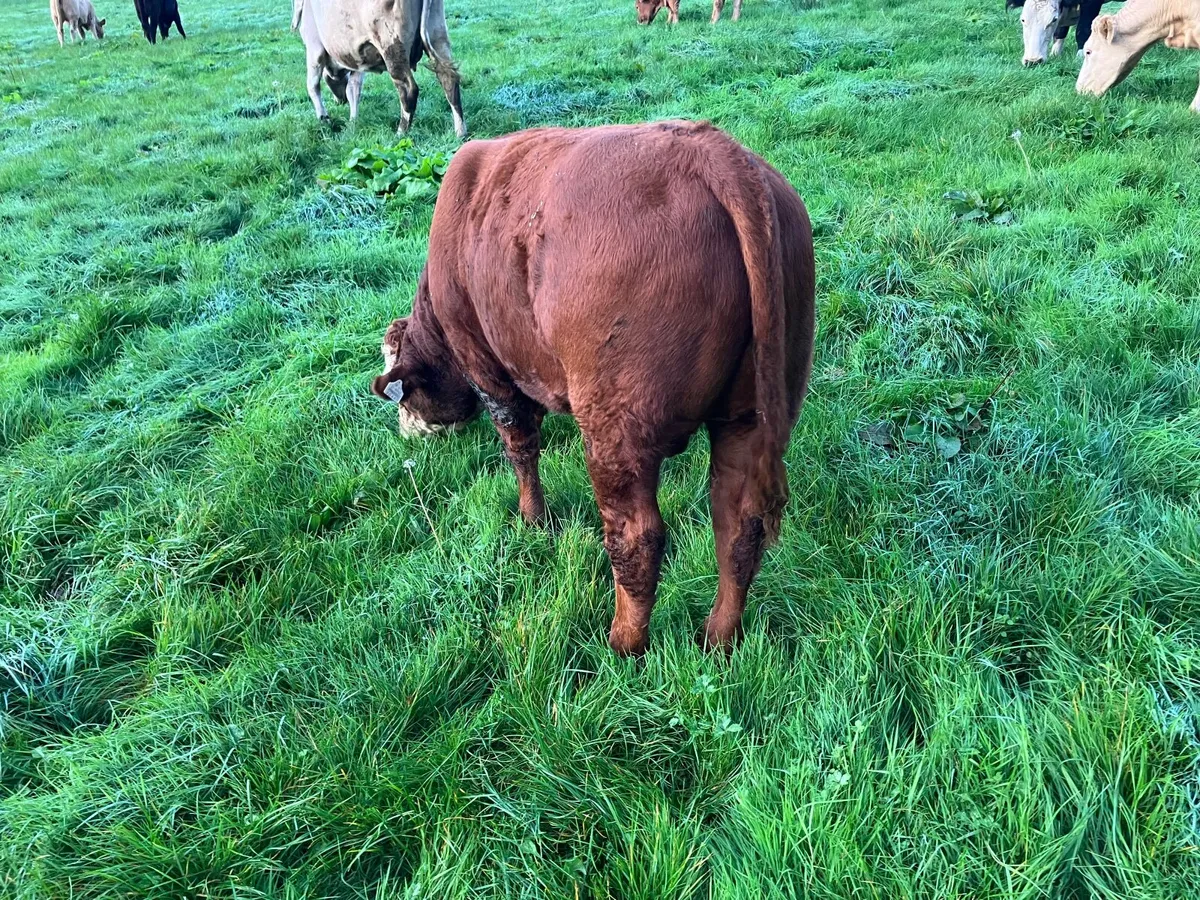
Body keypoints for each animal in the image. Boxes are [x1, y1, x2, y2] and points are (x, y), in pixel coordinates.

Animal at [292, 0, 466, 139]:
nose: (340, 101)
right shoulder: (358, 60)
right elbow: (353, 89)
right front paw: (353, 123)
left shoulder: (314, 48)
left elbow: (313, 86)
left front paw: (324, 119)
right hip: (438, 35)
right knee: (449, 81)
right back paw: (460, 132)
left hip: (392, 45)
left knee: (409, 90)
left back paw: (400, 132)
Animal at [371, 122, 816, 656]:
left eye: (406, 396)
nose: (406, 432)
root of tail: (710, 147)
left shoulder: (488, 369)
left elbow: (519, 445)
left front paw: (533, 520)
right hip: (750, 414)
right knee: (738, 524)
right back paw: (717, 639)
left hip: (615, 425)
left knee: (637, 538)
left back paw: (623, 644)